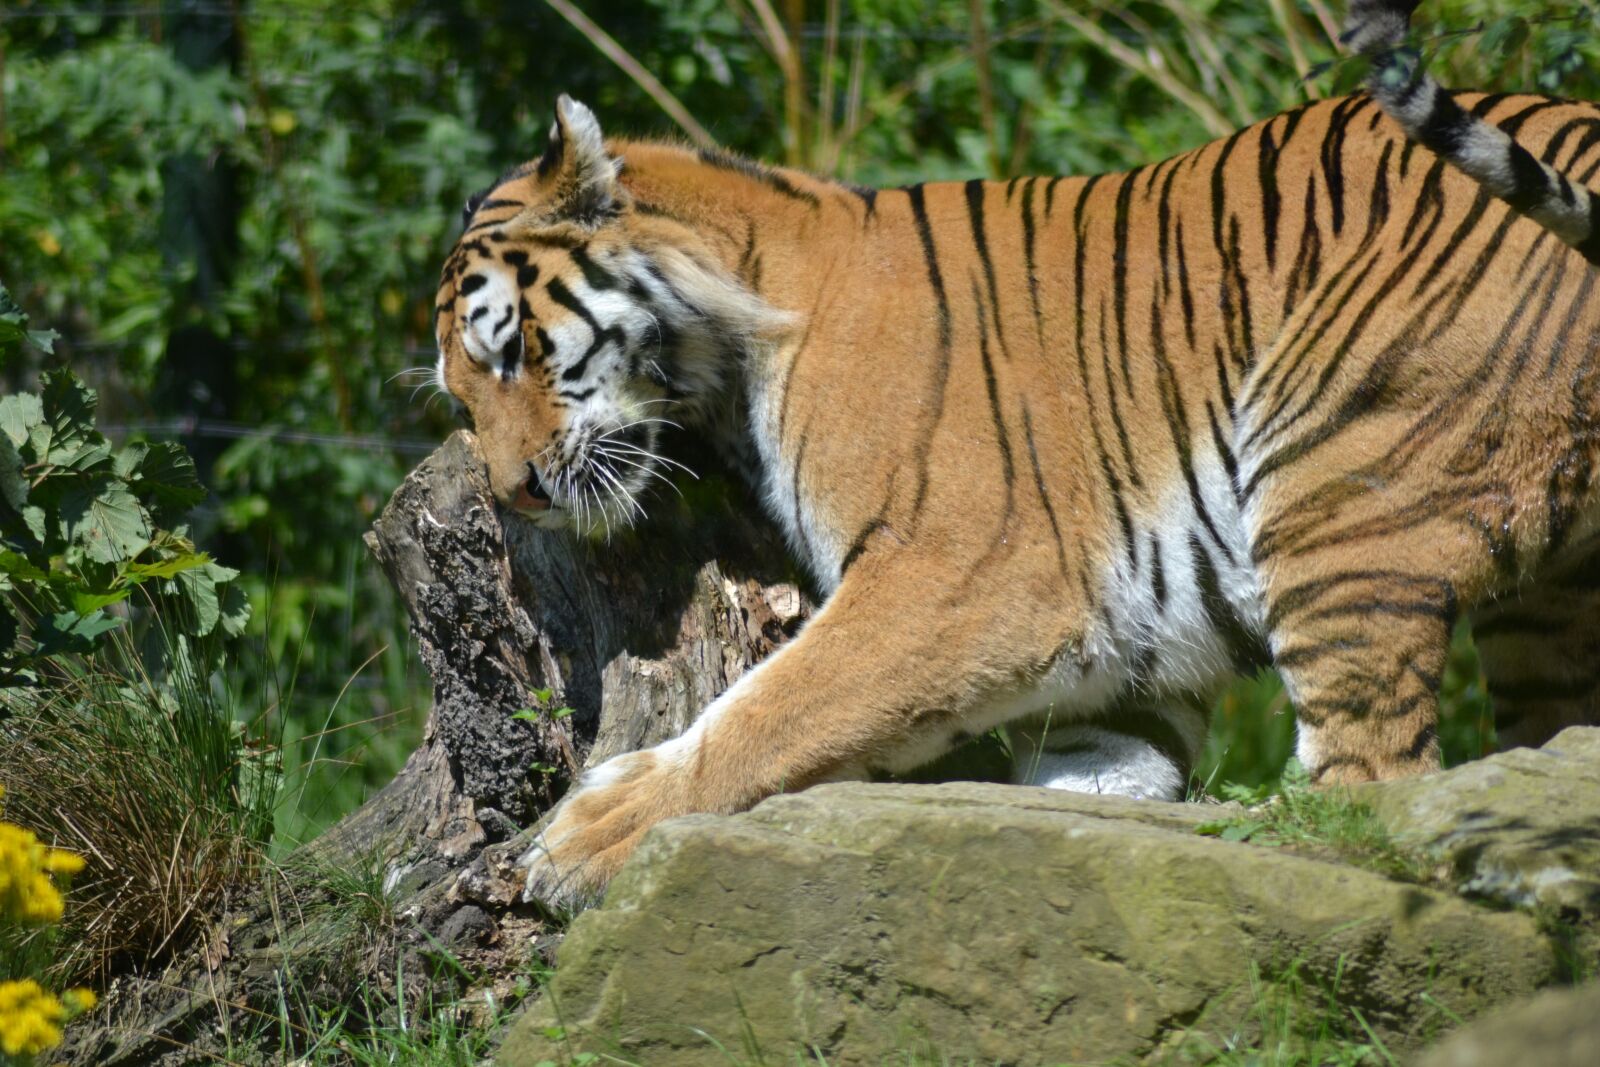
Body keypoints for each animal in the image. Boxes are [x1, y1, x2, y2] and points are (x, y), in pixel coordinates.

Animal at [431, 0, 1600, 907]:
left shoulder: (964, 576)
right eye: (461, 395)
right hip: (1542, 612)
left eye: (510, 349)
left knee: (1371, 789)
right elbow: (1069, 797)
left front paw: (589, 833)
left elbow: (777, 706)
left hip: (1341, 495)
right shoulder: (1122, 667)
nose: (516, 494)